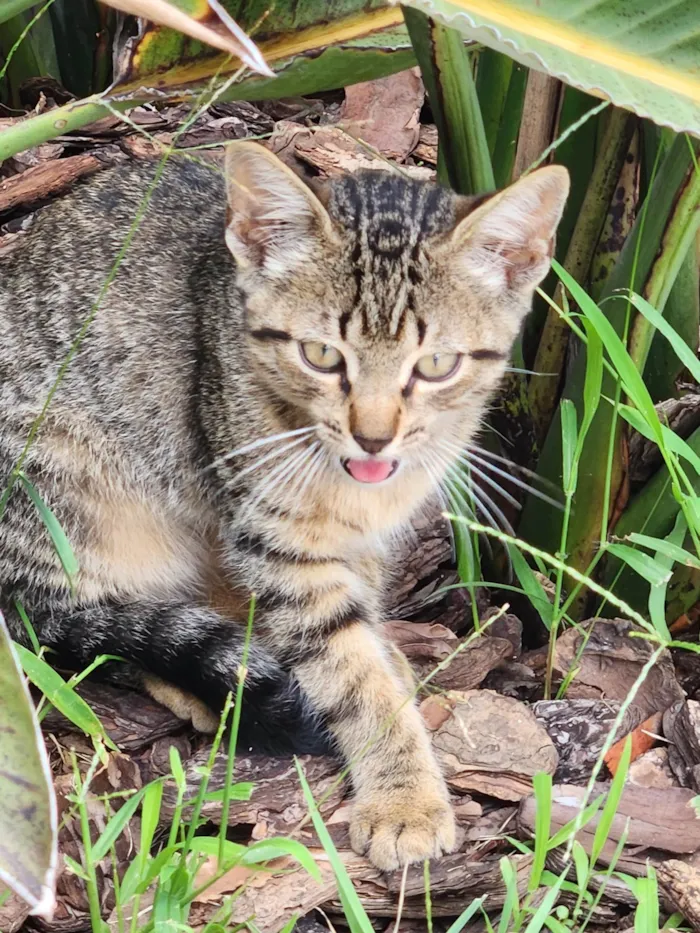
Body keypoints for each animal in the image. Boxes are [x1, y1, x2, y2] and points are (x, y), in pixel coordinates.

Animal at [0, 142, 568, 872]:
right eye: (321, 354)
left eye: (437, 364)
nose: (374, 437)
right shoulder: (275, 537)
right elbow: (350, 670)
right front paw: (404, 793)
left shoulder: (352, 536)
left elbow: (363, 614)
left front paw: (390, 663)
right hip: (75, 487)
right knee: (82, 617)